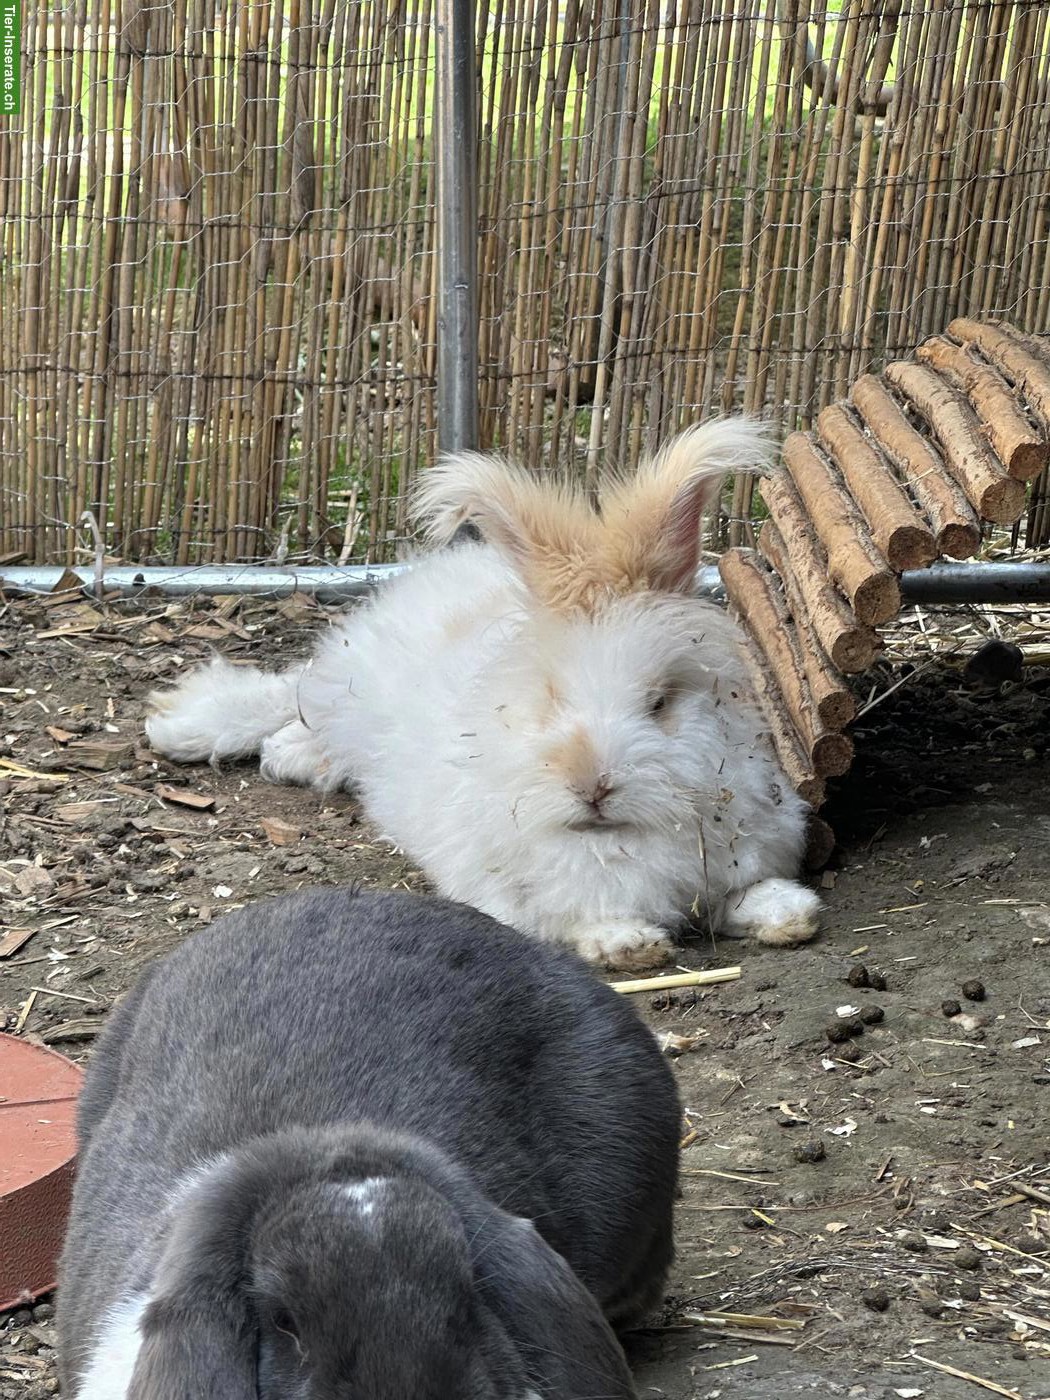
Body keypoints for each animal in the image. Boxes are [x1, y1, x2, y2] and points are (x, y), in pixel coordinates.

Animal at [146, 419, 822, 970]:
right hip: (344, 687)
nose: (591, 785)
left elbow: (747, 895)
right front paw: (628, 944)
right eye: (549, 698)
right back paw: (201, 732)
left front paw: (790, 913)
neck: (610, 838)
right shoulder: (511, 896)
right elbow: (570, 919)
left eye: (658, 702)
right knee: (294, 699)